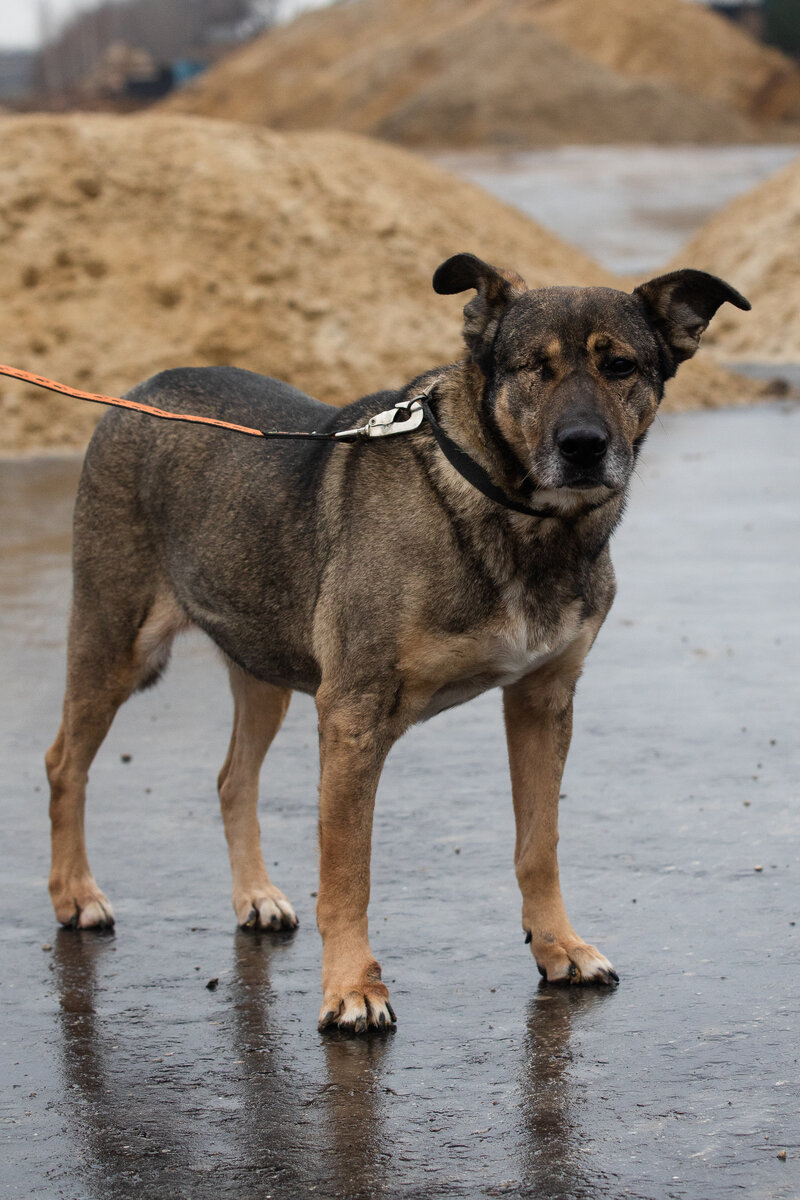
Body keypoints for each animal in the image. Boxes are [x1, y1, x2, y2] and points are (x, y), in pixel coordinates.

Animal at [45, 255, 753, 1032]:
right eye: (534, 369)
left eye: (620, 365)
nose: (583, 448)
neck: (513, 511)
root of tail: (140, 392)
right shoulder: (354, 715)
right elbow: (347, 873)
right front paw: (351, 986)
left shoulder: (542, 701)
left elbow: (538, 845)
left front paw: (558, 946)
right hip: (116, 645)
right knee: (64, 764)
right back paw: (75, 893)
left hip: (263, 663)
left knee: (233, 778)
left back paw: (253, 894)